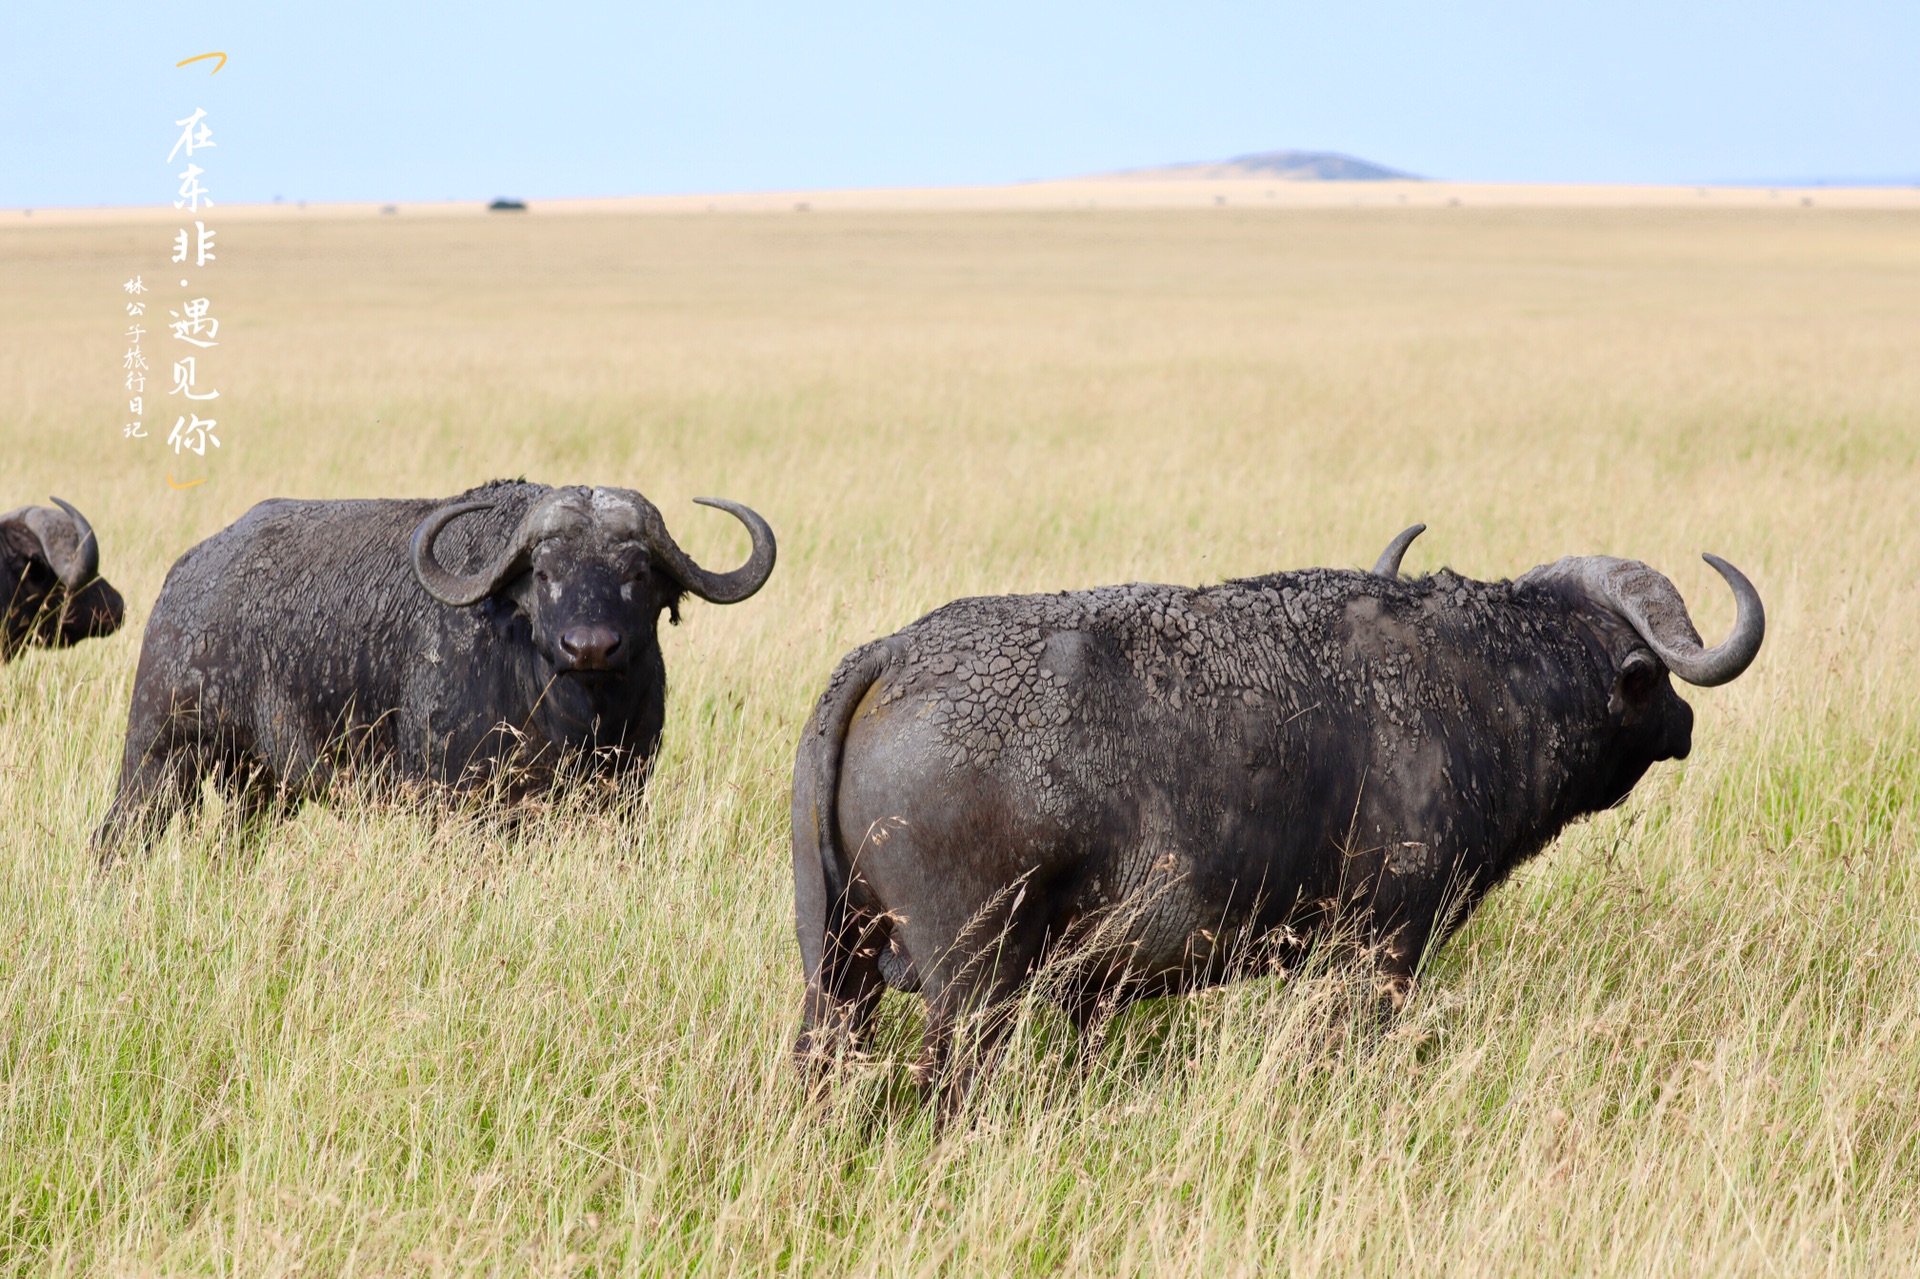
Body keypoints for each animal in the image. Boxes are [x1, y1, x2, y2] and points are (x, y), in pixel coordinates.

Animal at [95, 478, 771, 856]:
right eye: (545, 572)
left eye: (637, 573)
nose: (590, 647)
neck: (568, 718)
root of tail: (186, 575)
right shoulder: (453, 804)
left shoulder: (620, 800)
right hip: (156, 758)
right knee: (116, 837)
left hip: (258, 785)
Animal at [787, 526, 1758, 1106]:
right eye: (1651, 680)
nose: (1685, 721)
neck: (1485, 682)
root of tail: (894, 656)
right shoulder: (1385, 946)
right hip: (972, 986)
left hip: (838, 975)